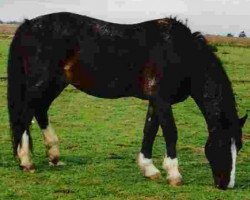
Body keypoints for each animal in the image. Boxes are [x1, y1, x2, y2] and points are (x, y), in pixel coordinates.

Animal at [6, 11, 247, 190]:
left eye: (240, 146)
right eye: (223, 143)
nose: (227, 184)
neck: (180, 54)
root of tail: (28, 25)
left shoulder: (155, 101)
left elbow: (149, 130)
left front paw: (149, 169)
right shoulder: (162, 100)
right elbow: (170, 132)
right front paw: (174, 174)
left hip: (55, 83)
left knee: (40, 111)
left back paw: (54, 156)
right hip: (41, 83)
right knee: (25, 115)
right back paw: (27, 161)